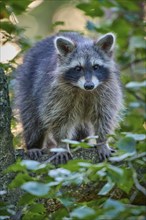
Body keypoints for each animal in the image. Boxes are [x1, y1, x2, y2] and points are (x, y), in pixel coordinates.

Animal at [15, 32, 123, 163]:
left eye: (96, 67)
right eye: (78, 68)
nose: (89, 85)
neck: (83, 91)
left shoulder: (107, 92)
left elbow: (104, 117)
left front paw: (102, 142)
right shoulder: (55, 94)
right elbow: (59, 119)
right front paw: (62, 145)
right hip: (27, 86)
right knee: (31, 120)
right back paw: (33, 145)